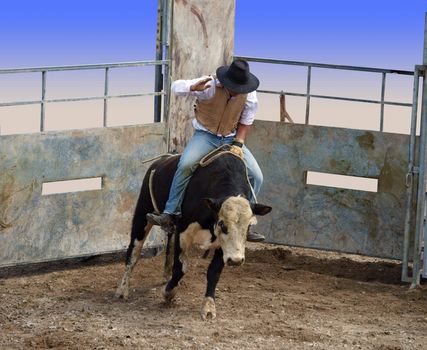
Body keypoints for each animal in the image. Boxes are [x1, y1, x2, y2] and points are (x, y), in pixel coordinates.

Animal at [115, 150, 272, 320]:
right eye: (222, 223)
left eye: (249, 225)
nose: (236, 261)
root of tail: (161, 160)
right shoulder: (183, 234)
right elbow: (181, 268)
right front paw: (169, 293)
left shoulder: (223, 246)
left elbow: (214, 272)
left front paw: (209, 307)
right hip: (142, 215)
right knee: (134, 253)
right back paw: (122, 290)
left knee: (168, 249)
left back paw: (166, 278)